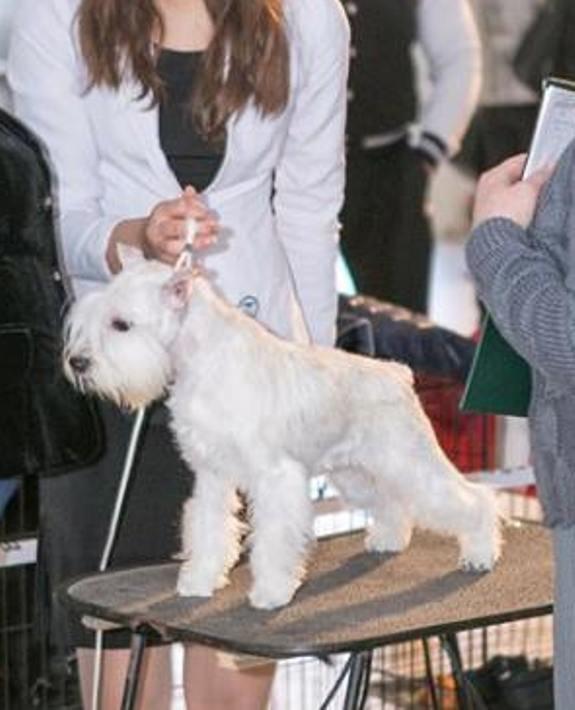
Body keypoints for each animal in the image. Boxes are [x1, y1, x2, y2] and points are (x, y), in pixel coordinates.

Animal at [64, 246, 501, 609]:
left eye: (121, 324)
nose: (78, 363)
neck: (202, 361)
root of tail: (398, 374)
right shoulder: (213, 475)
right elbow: (208, 527)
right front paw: (199, 580)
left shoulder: (274, 478)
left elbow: (273, 540)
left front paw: (271, 593)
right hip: (357, 473)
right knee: (392, 503)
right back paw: (388, 539)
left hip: (411, 463)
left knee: (473, 499)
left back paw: (480, 553)